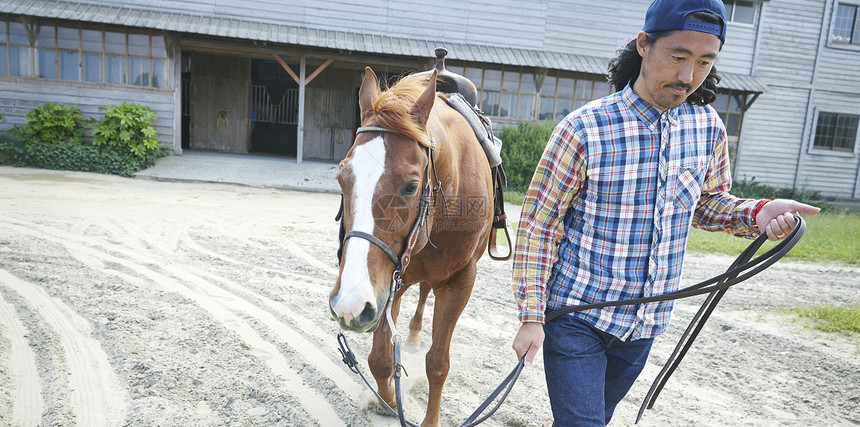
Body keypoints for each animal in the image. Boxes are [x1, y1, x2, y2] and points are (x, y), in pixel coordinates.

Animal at [328, 68, 490, 426]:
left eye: (411, 186)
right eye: (341, 178)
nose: (349, 304)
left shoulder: (461, 282)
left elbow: (438, 363)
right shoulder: (388, 284)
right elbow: (379, 359)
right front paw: (388, 399)